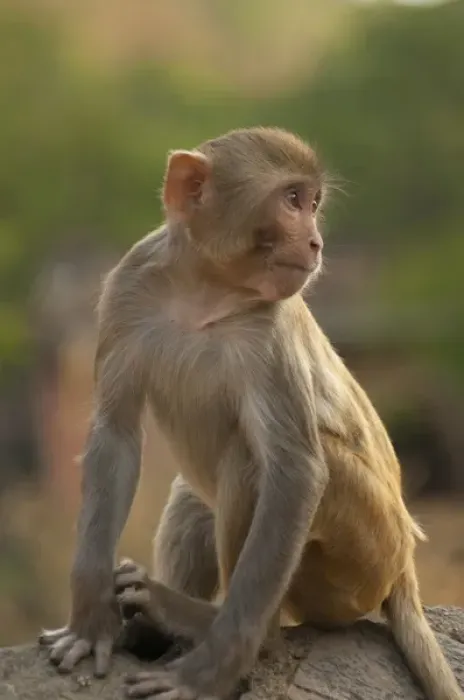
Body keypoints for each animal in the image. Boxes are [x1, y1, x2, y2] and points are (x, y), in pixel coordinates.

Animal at [39, 127, 463, 700]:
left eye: (313, 204)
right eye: (293, 200)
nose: (315, 241)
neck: (205, 288)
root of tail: (404, 571)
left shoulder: (271, 330)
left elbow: (296, 471)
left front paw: (206, 673)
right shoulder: (127, 288)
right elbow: (116, 434)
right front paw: (89, 622)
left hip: (363, 553)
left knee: (250, 461)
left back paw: (216, 628)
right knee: (194, 497)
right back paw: (152, 625)